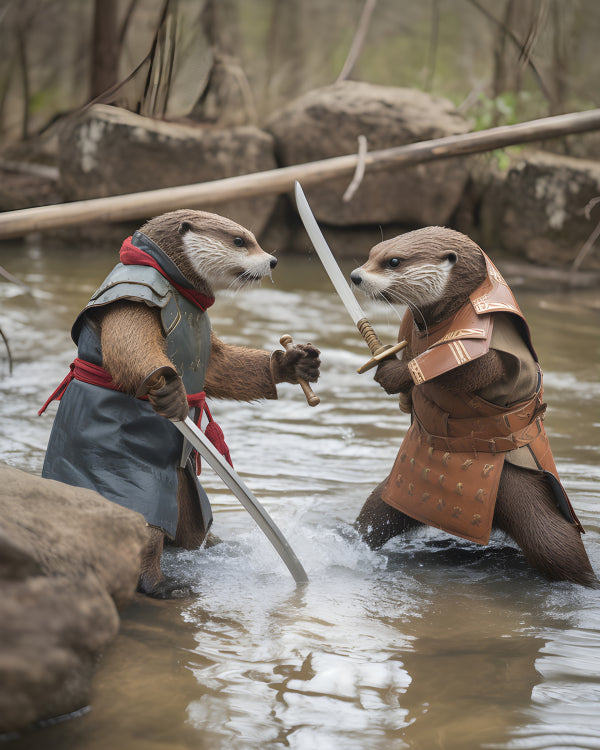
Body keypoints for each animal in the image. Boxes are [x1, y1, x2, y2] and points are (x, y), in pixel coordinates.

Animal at [41, 209, 320, 595]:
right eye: (240, 241)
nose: (273, 260)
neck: (177, 286)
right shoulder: (135, 295)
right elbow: (128, 344)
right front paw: (169, 392)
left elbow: (219, 365)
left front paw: (292, 364)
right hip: (125, 475)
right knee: (143, 527)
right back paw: (161, 585)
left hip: (185, 481)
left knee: (189, 523)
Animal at [350, 226, 597, 587]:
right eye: (371, 253)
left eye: (393, 261)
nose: (355, 275)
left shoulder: (482, 334)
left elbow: (472, 368)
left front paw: (393, 373)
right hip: (403, 490)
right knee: (375, 515)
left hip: (527, 494)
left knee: (559, 545)